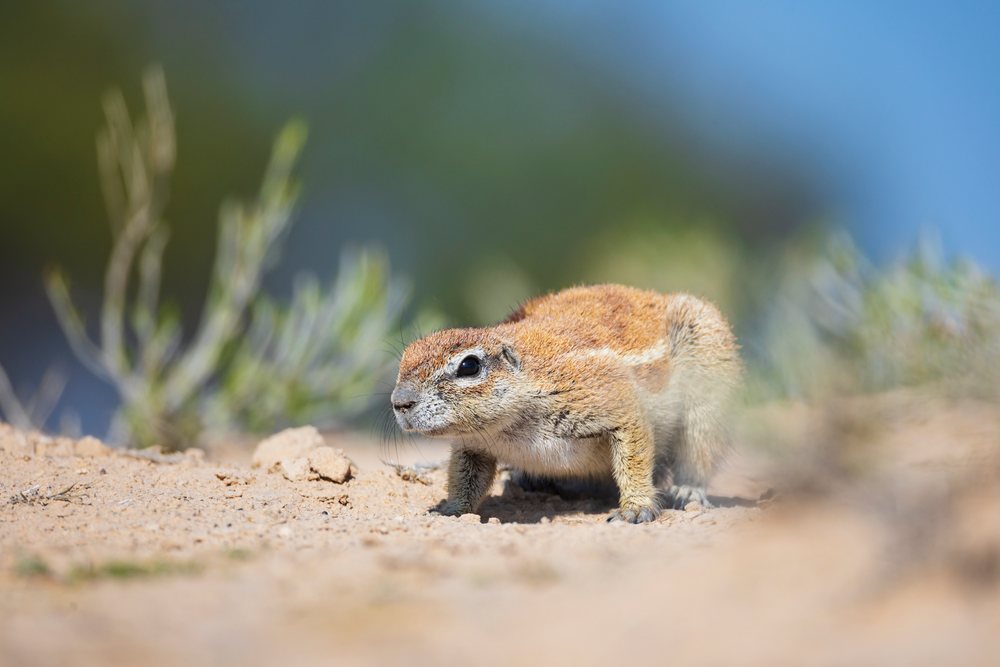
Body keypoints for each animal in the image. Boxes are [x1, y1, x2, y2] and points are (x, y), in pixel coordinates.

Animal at [391, 284, 742, 523]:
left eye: (469, 366)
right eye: (405, 357)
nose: (399, 402)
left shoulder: (607, 397)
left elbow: (634, 452)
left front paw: (636, 507)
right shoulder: (472, 445)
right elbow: (465, 478)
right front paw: (450, 509)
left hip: (707, 389)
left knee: (699, 451)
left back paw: (688, 489)